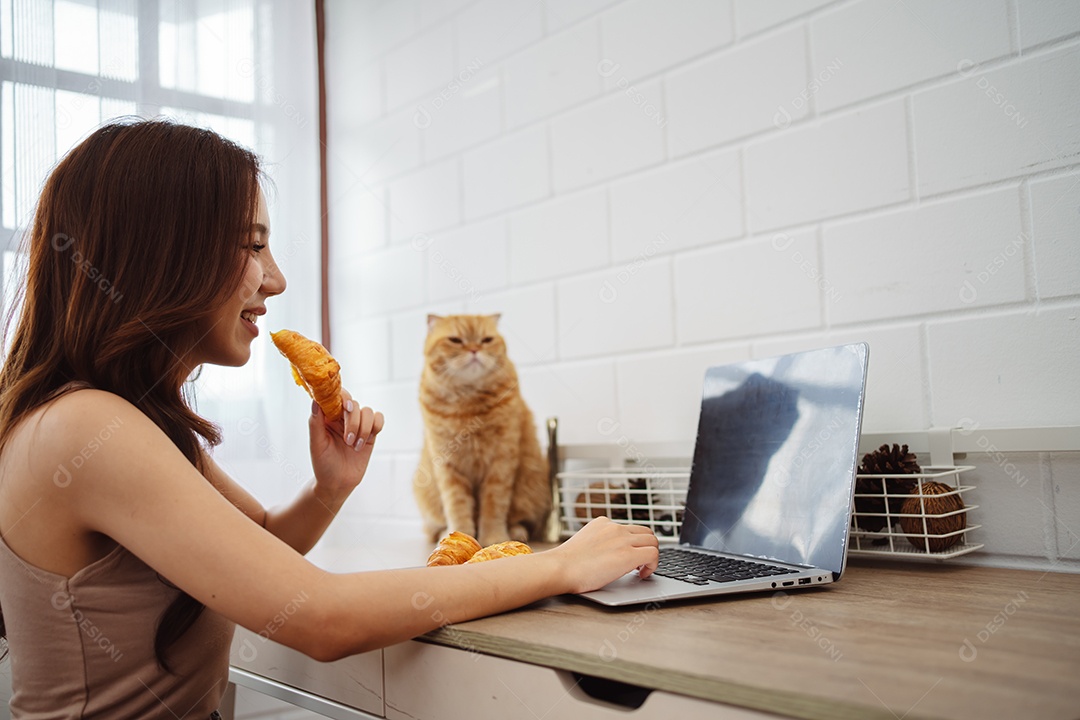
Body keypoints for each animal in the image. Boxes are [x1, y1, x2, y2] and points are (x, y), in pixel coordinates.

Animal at [410, 313, 552, 544]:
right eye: (455, 340)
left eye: (486, 340)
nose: (474, 349)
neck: (468, 404)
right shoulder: (448, 467)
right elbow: (457, 506)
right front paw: (460, 535)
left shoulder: (501, 462)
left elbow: (494, 506)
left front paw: (494, 537)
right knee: (433, 527)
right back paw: (443, 533)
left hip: (533, 487)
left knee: (521, 520)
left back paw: (516, 532)